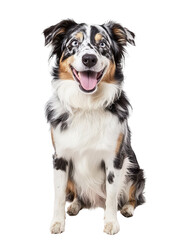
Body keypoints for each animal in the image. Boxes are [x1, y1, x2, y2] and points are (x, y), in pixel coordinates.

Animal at [43, 19, 146, 235]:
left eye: (103, 44)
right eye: (74, 43)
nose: (89, 59)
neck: (87, 106)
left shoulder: (115, 159)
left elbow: (112, 196)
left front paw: (111, 222)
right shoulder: (60, 158)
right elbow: (58, 195)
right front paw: (57, 222)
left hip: (135, 170)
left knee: (134, 196)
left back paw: (128, 208)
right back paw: (75, 205)